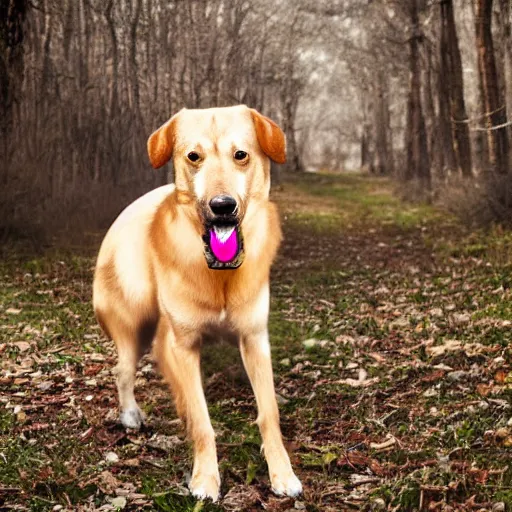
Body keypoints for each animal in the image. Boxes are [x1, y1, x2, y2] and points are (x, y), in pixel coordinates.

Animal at [92, 106, 302, 502]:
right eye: (193, 156)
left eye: (241, 155)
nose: (222, 207)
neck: (220, 273)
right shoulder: (183, 346)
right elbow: (203, 420)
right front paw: (205, 477)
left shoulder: (255, 339)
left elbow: (268, 412)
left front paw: (282, 473)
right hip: (134, 324)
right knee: (122, 369)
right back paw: (130, 414)